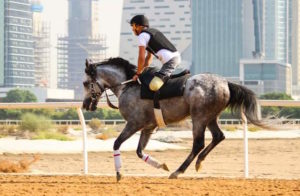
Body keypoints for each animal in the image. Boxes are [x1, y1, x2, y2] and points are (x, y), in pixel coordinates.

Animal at [81, 56, 268, 181]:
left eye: (85, 83)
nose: (85, 104)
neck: (128, 86)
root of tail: (225, 83)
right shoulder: (148, 127)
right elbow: (139, 151)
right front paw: (161, 165)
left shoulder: (134, 123)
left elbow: (116, 143)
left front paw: (119, 173)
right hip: (210, 117)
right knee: (218, 136)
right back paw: (198, 162)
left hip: (199, 117)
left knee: (198, 143)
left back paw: (179, 171)